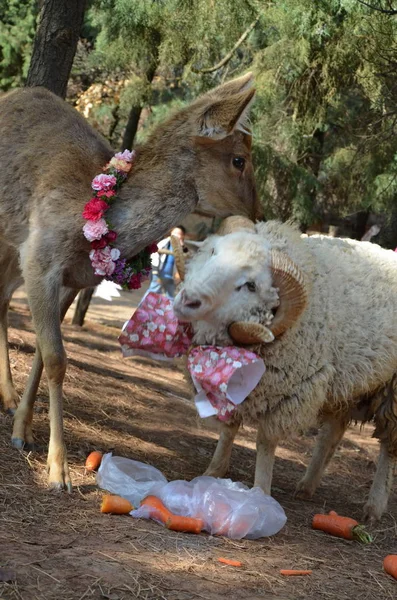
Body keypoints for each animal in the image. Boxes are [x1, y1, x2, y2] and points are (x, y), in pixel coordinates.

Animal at [0, 71, 260, 492]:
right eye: (240, 159)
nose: (258, 215)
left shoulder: (74, 278)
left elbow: (44, 350)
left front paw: (24, 430)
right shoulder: (39, 256)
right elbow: (56, 357)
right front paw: (58, 471)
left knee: (2, 299)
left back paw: (6, 398)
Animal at [172, 217, 396, 520]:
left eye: (250, 285)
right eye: (213, 252)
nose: (188, 300)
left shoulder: (289, 394)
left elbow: (265, 443)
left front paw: (260, 493)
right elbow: (228, 430)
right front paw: (213, 471)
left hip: (392, 390)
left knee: (388, 449)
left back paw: (374, 505)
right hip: (345, 385)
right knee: (332, 433)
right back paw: (307, 485)